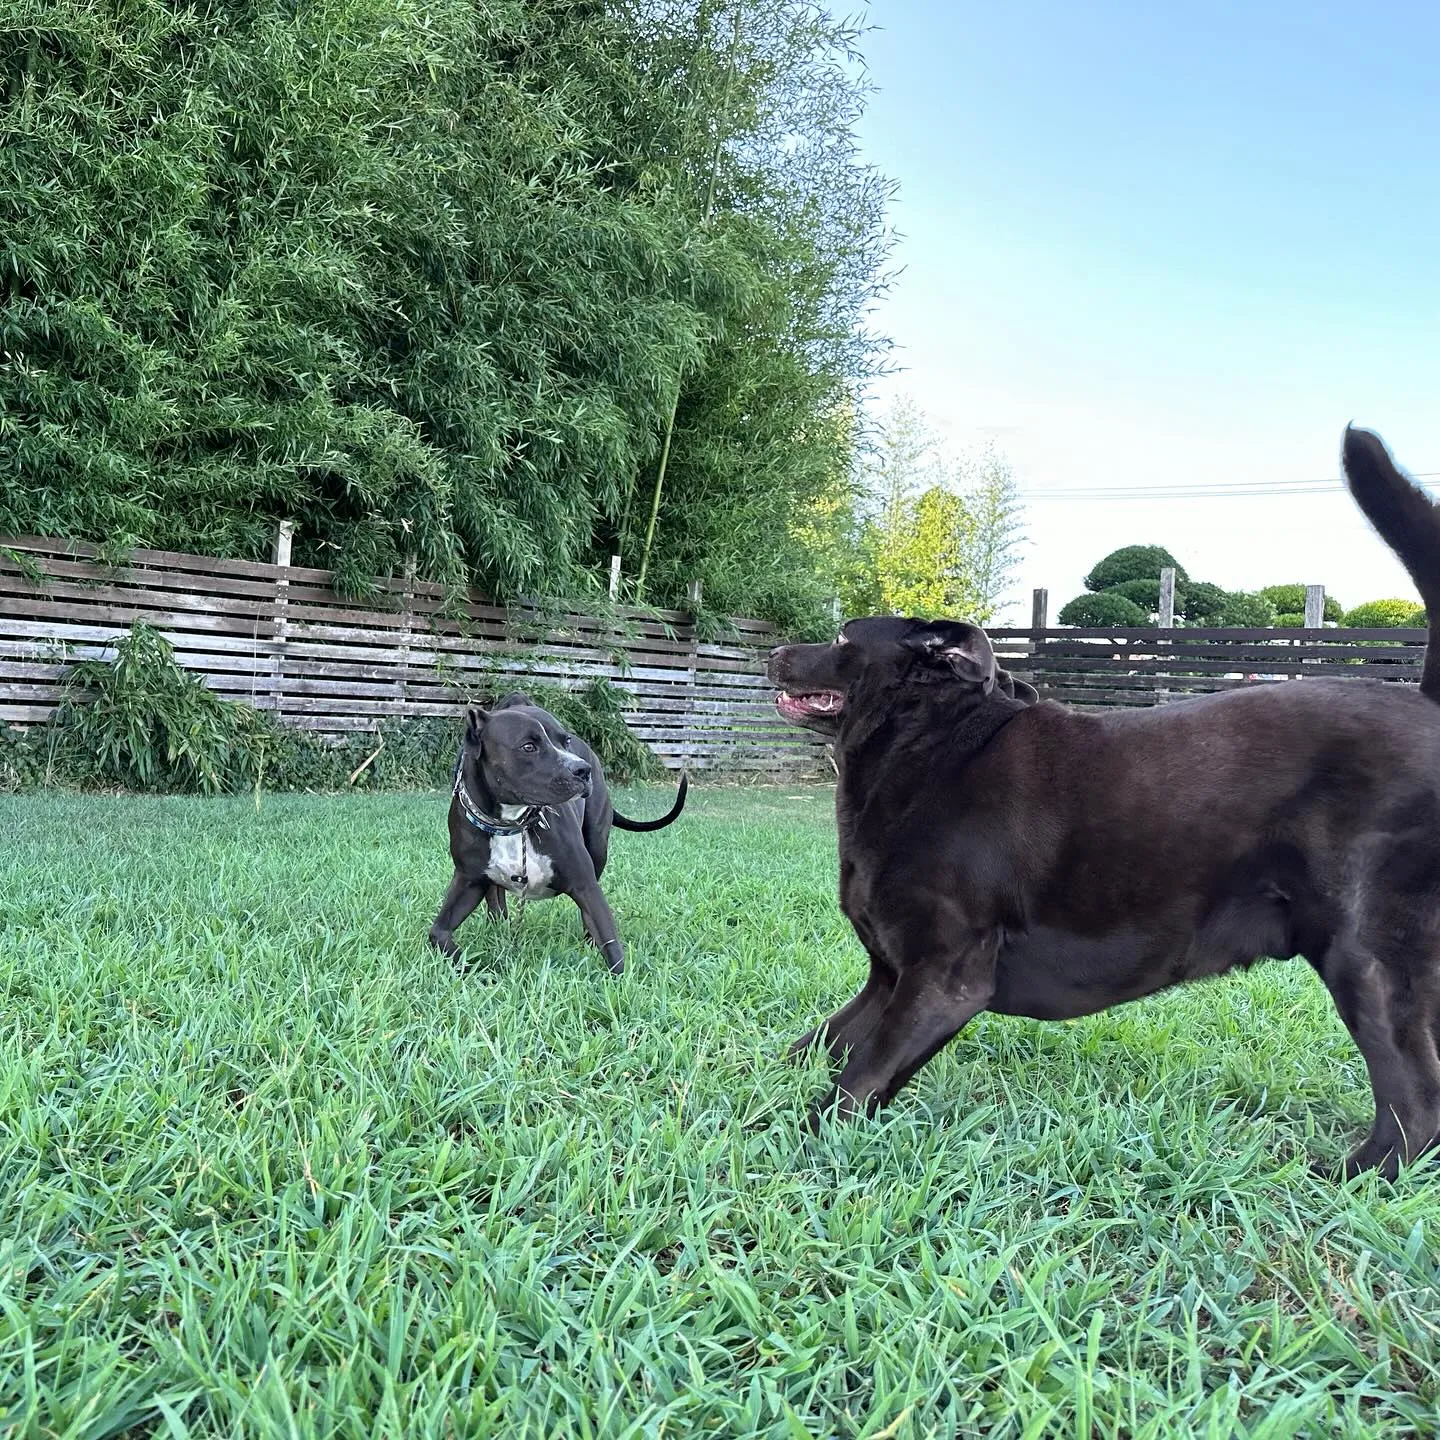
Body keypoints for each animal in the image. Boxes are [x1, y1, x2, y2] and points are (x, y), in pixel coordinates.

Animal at [426, 691, 685, 973]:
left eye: (565, 741)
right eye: (528, 746)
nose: (582, 770)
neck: (511, 822)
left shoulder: (585, 884)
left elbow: (610, 944)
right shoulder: (468, 880)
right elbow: (437, 932)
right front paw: (472, 968)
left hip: (598, 846)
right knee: (495, 895)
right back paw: (499, 926)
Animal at [771, 426, 1440, 1180]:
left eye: (841, 639)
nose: (773, 652)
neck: (929, 746)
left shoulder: (943, 979)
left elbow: (854, 1085)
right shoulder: (888, 976)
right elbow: (817, 1045)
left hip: (1368, 959)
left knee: (1416, 1105)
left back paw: (1346, 1177)